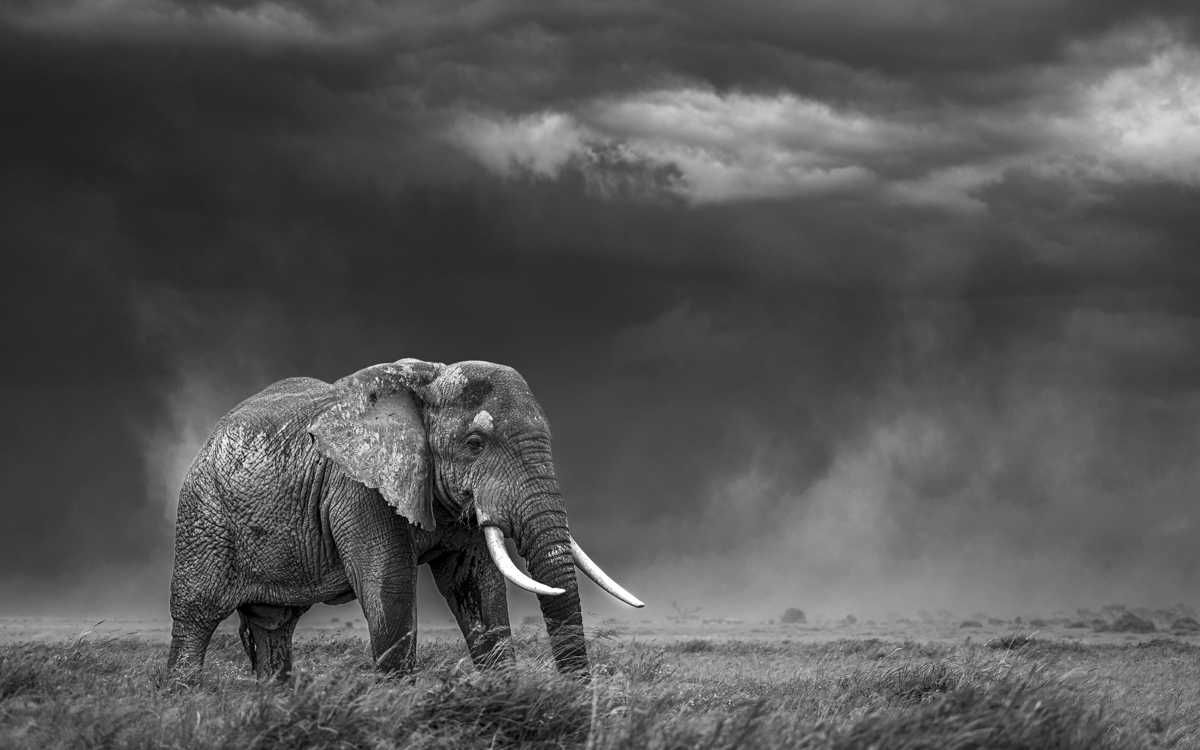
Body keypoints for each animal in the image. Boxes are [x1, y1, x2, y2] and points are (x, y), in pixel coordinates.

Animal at [167, 358, 642, 680]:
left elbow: (479, 587)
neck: (426, 382)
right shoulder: (359, 489)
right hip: (202, 516)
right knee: (195, 617)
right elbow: (389, 586)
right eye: (474, 443)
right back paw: (182, 697)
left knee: (273, 627)